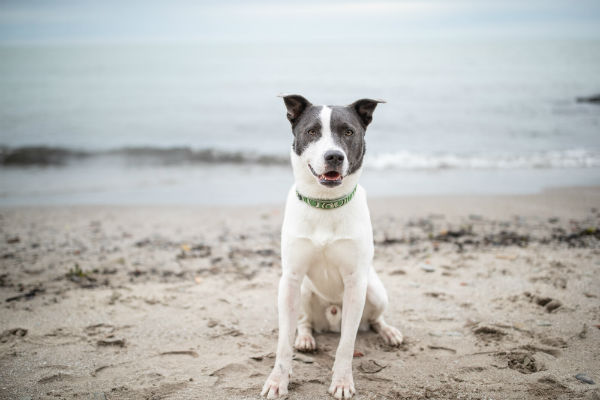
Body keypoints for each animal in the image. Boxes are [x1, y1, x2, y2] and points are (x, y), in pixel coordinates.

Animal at [262, 95, 404, 398]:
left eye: (348, 132)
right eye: (312, 131)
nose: (334, 157)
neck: (325, 204)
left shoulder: (355, 283)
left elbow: (346, 345)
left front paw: (342, 381)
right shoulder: (290, 279)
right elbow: (283, 343)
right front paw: (278, 381)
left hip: (374, 290)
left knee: (374, 319)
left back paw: (388, 332)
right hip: (304, 290)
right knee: (304, 321)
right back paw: (305, 338)